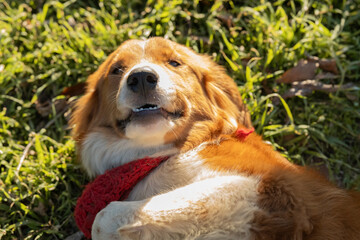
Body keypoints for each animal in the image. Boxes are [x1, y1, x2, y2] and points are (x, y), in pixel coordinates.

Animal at [70, 37, 360, 238]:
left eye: (174, 62)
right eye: (117, 69)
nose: (141, 77)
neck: (158, 155)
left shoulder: (279, 191)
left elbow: (104, 217)